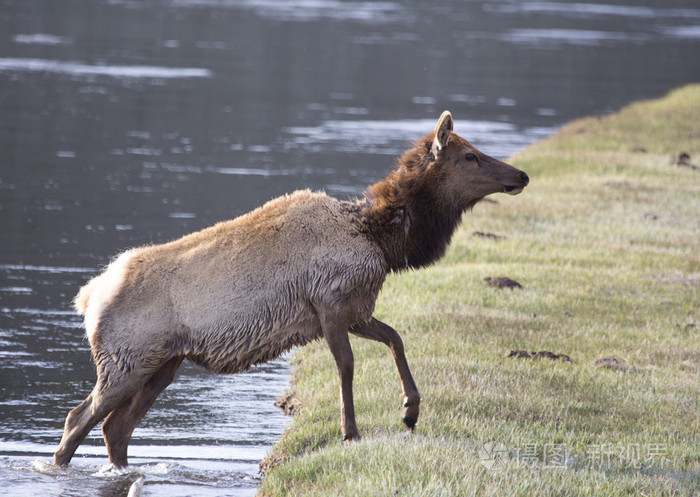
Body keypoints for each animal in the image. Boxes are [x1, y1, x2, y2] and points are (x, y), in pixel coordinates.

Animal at [54, 111, 528, 464]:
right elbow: (347, 365)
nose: (521, 175)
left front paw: (410, 410)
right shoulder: (330, 303)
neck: (382, 241)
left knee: (114, 429)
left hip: (161, 364)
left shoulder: (355, 308)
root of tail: (89, 297)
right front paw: (351, 432)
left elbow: (395, 337)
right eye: (469, 155)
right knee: (77, 420)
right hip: (126, 360)